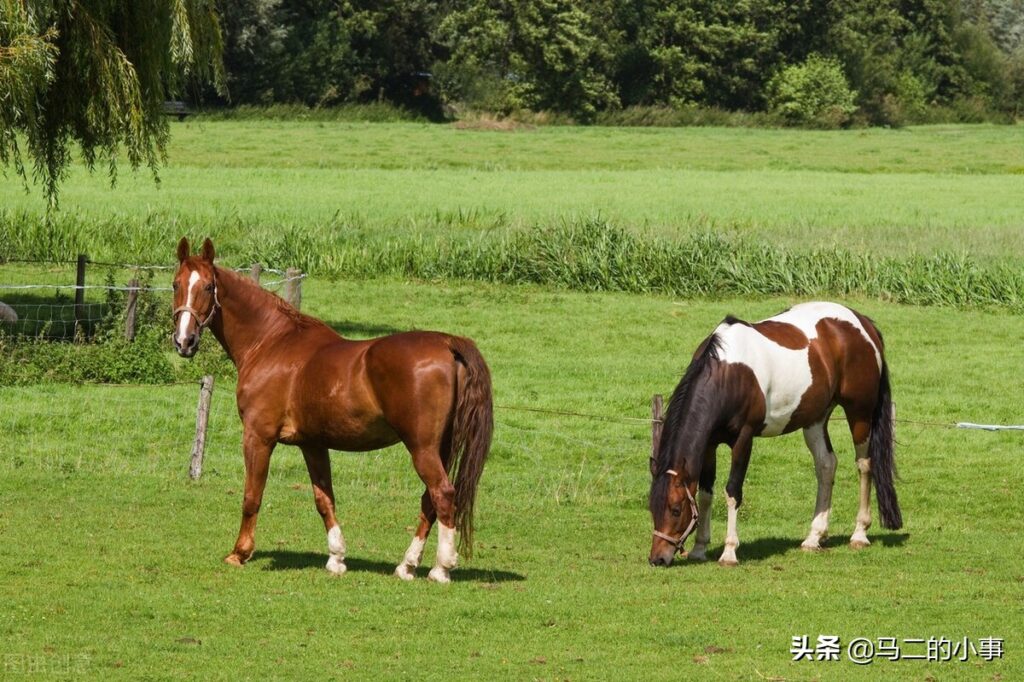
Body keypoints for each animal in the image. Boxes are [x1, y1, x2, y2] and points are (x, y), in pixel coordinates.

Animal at [171, 236, 491, 581]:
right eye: (176, 284)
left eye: (207, 287)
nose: (184, 341)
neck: (271, 343)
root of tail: (448, 343)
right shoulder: (313, 444)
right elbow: (324, 499)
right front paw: (336, 558)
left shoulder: (258, 437)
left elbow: (252, 496)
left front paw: (239, 553)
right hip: (440, 448)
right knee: (428, 500)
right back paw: (406, 566)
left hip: (422, 448)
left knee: (443, 494)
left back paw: (441, 568)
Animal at [651, 301, 901, 561]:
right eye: (651, 507)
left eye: (676, 509)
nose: (657, 558)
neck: (728, 373)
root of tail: (863, 323)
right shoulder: (709, 443)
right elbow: (705, 492)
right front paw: (699, 548)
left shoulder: (743, 439)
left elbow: (732, 491)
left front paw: (729, 551)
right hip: (816, 419)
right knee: (826, 465)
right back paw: (814, 537)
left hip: (859, 413)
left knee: (864, 465)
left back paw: (859, 534)